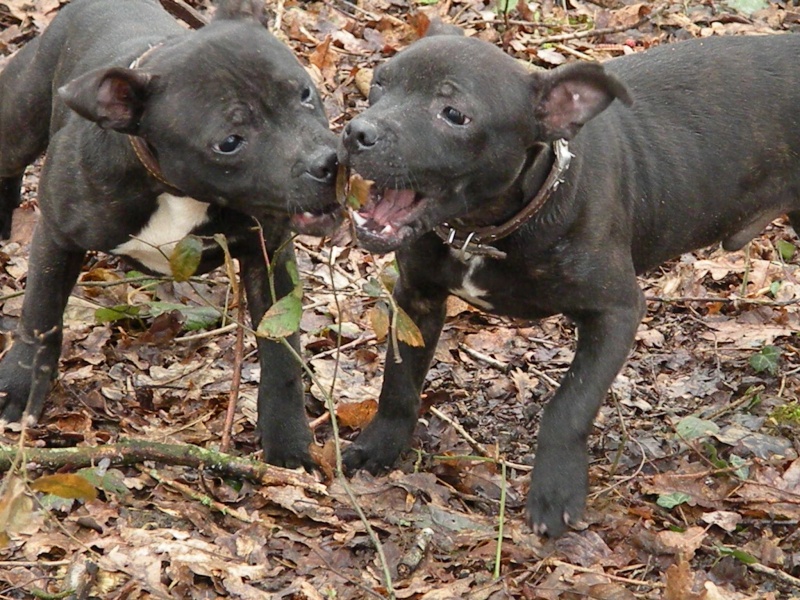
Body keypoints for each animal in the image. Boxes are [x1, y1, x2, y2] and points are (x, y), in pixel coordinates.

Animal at [0, 0, 340, 468]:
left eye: (304, 93)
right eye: (229, 142)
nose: (329, 163)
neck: (176, 189)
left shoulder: (268, 255)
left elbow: (281, 349)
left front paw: (287, 438)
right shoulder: (57, 236)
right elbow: (40, 314)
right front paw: (19, 385)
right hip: (20, 117)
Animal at [338, 28, 800, 536]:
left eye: (454, 114)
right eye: (379, 83)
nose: (358, 132)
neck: (485, 231)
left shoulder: (615, 313)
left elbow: (569, 406)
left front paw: (555, 490)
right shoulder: (417, 299)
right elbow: (399, 379)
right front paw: (380, 444)